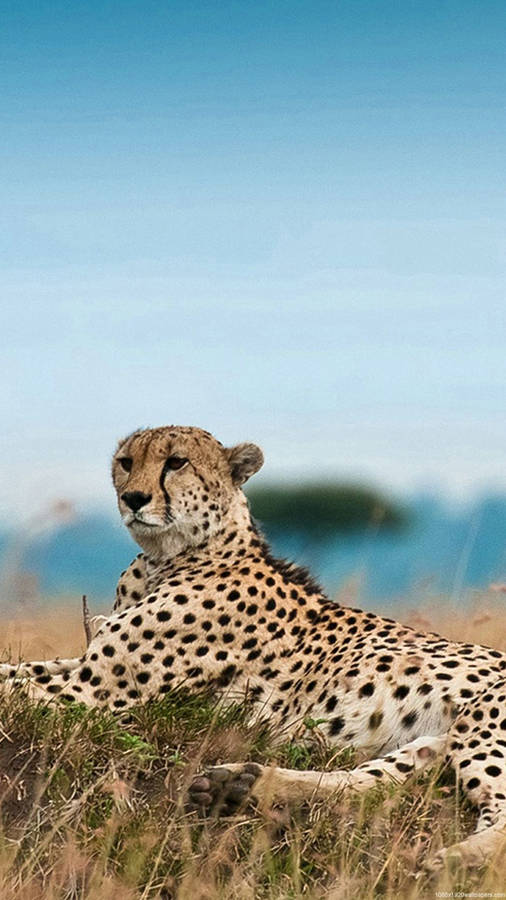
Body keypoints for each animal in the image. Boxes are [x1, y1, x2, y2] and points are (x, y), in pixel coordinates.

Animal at [1, 424, 505, 872]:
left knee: (497, 813)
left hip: (482, 721)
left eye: (176, 462)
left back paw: (454, 861)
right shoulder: (82, 666)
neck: (166, 558)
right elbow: (18, 671)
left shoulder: (92, 690)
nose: (134, 498)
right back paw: (246, 785)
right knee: (375, 781)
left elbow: (15, 688)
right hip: (441, 737)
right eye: (126, 462)